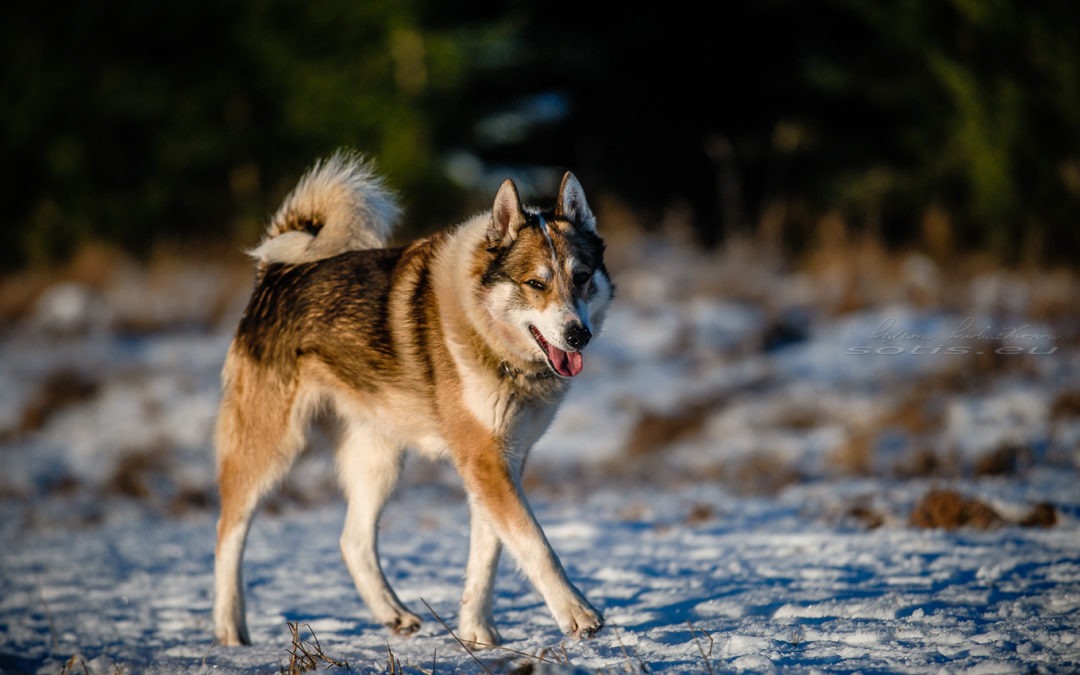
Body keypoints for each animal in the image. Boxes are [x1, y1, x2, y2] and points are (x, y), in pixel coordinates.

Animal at [213, 150, 613, 643]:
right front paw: (577, 613)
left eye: (582, 277)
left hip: (379, 460)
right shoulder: (485, 461)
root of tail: (275, 275)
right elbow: (537, 545)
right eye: (535, 284)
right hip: (270, 448)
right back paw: (230, 630)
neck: (487, 335)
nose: (579, 335)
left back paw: (393, 614)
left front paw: (477, 633)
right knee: (228, 532)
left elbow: (489, 556)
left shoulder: (502, 462)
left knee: (352, 541)